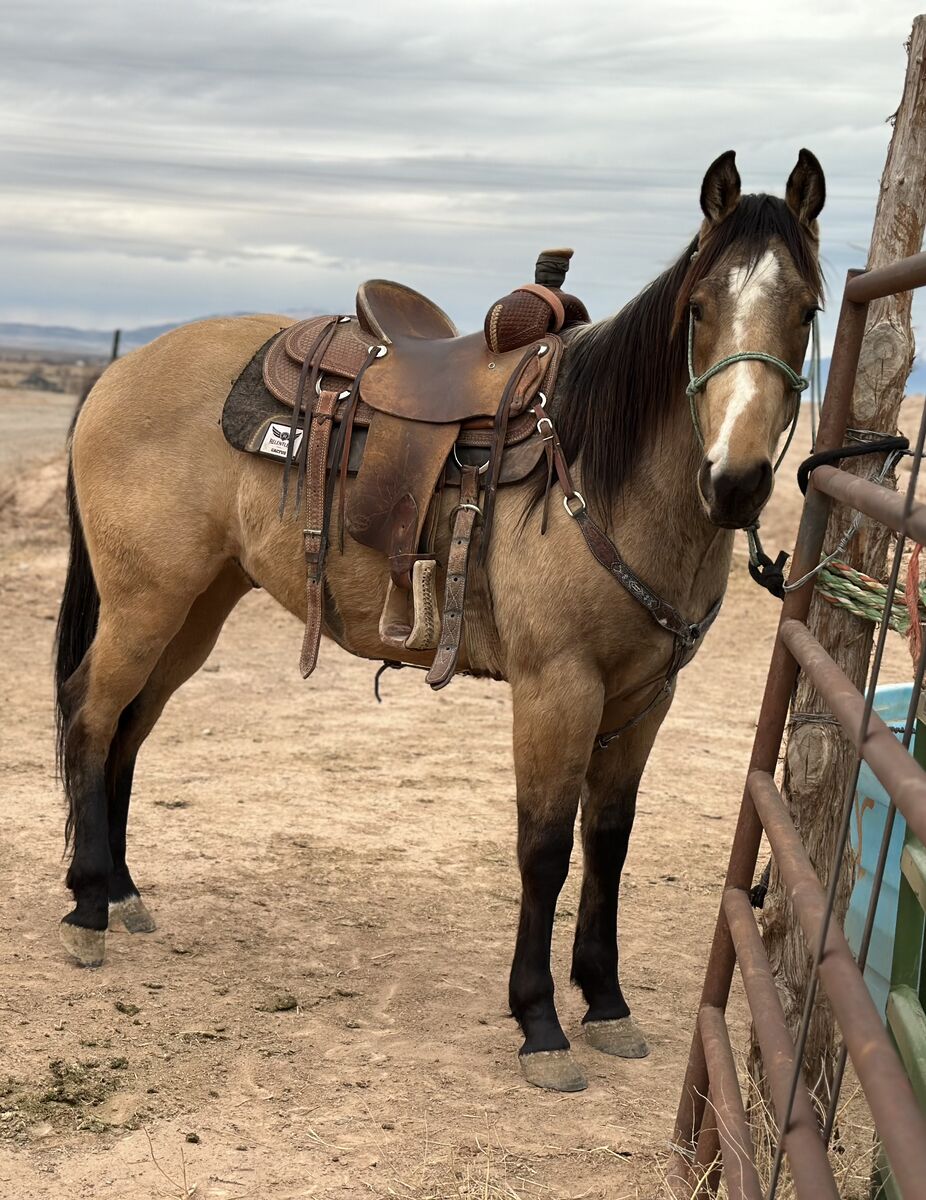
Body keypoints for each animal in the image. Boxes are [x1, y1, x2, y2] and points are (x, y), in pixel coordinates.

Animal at [53, 149, 825, 1092]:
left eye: (808, 309)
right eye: (700, 307)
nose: (737, 480)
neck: (599, 470)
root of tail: (118, 372)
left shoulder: (644, 699)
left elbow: (608, 843)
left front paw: (606, 1003)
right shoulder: (558, 689)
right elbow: (545, 849)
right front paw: (540, 1024)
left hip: (194, 611)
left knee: (128, 729)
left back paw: (121, 892)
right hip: (145, 603)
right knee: (90, 716)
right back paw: (87, 906)